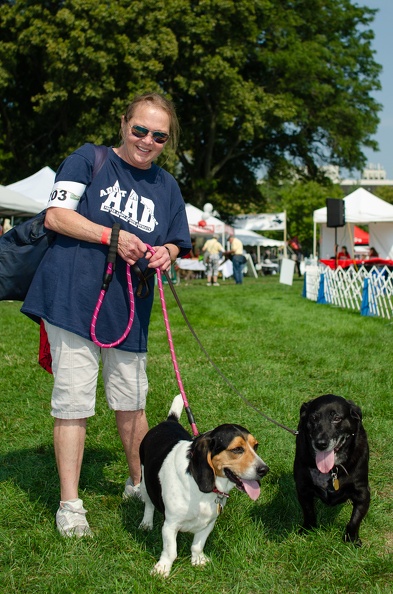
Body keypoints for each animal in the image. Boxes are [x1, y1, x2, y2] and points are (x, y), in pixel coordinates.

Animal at [136, 394, 268, 572]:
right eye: (237, 449)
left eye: (256, 446)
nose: (264, 470)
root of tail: (169, 421)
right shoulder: (170, 525)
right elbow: (171, 551)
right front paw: (162, 569)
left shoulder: (208, 523)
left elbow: (197, 546)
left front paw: (198, 560)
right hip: (144, 482)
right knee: (149, 505)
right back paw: (146, 524)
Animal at [292, 390, 370, 544]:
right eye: (314, 417)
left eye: (337, 418)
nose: (321, 443)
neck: (332, 470)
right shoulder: (303, 488)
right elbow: (309, 512)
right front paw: (307, 530)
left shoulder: (363, 492)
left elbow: (354, 521)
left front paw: (352, 540)